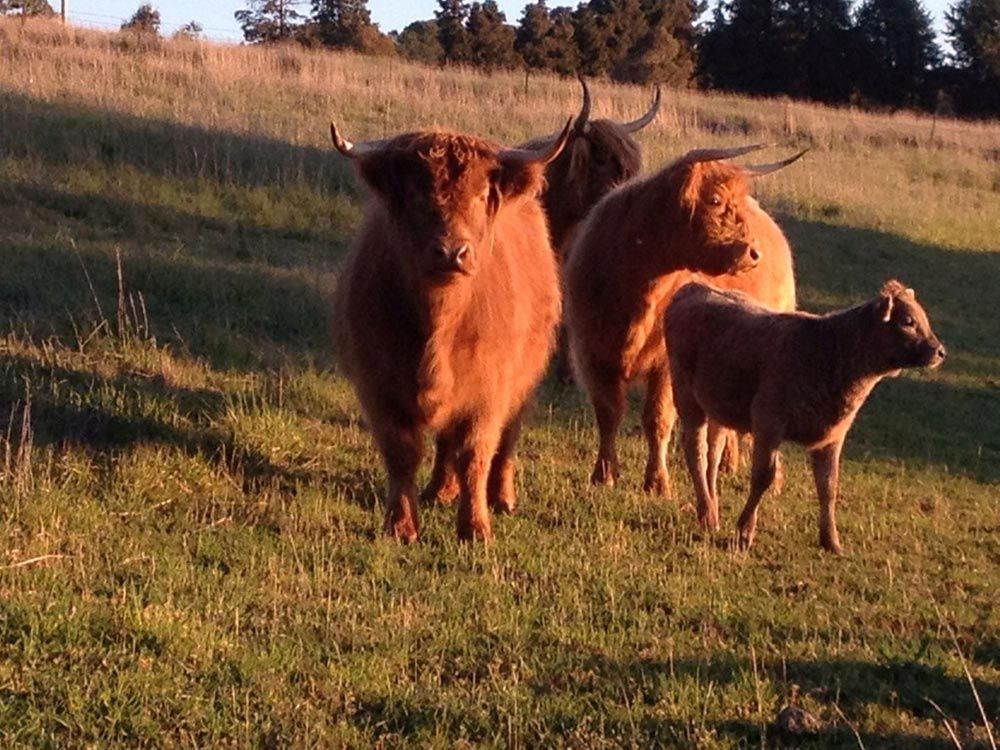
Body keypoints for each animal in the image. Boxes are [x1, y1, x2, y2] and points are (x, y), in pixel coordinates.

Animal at [331, 120, 571, 542]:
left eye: (481, 195)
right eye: (415, 194)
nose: (451, 252)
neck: (439, 326)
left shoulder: (489, 390)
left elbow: (476, 454)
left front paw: (475, 528)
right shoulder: (379, 385)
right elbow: (402, 454)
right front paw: (401, 526)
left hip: (525, 378)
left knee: (506, 440)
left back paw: (502, 497)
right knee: (445, 443)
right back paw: (439, 490)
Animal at [563, 144, 806, 497]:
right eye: (715, 200)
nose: (754, 253)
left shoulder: (666, 363)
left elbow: (658, 419)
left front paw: (657, 482)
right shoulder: (592, 352)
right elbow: (608, 413)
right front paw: (604, 474)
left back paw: (766, 478)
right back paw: (728, 464)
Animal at [666, 280, 946, 553]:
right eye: (908, 322)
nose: (940, 351)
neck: (829, 351)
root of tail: (693, 286)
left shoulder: (832, 438)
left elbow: (828, 485)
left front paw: (831, 541)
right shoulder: (768, 425)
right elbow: (763, 477)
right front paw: (745, 532)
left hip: (718, 408)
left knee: (712, 455)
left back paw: (711, 509)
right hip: (687, 398)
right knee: (696, 452)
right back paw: (707, 513)